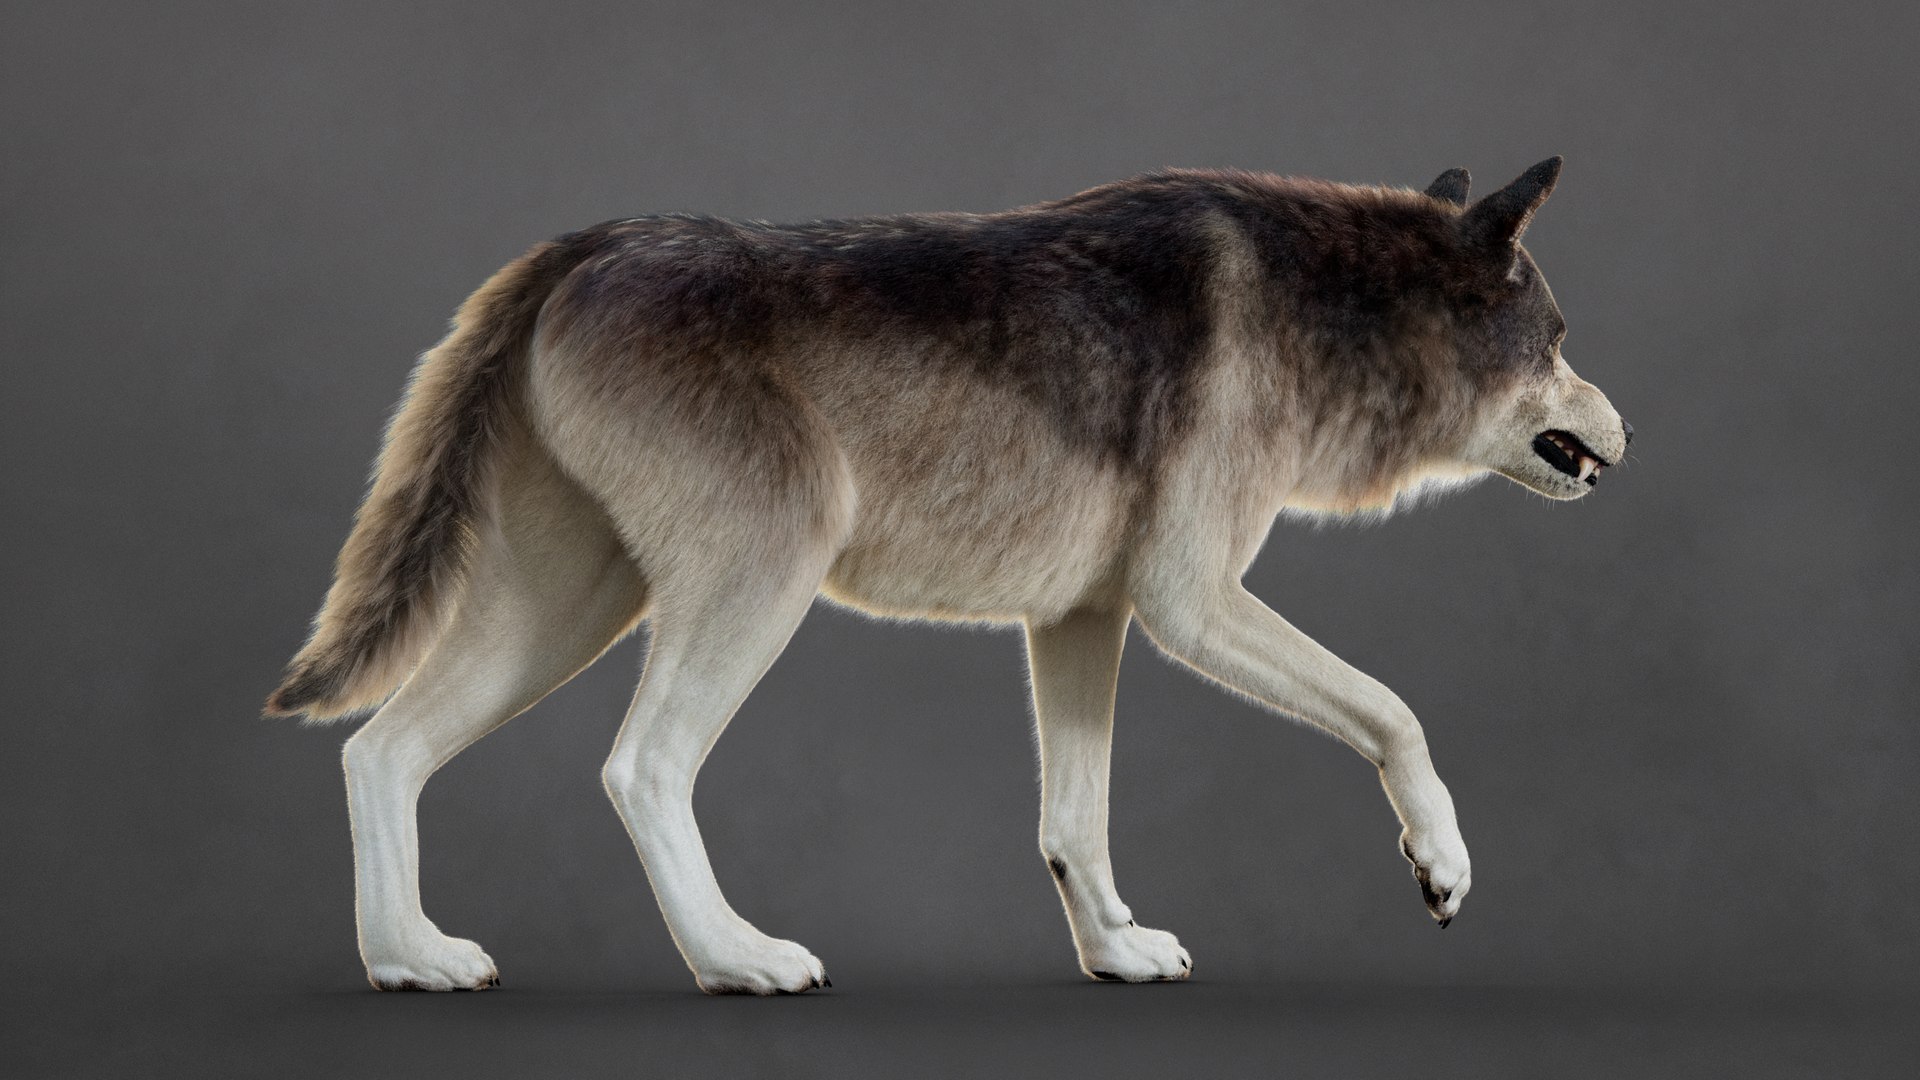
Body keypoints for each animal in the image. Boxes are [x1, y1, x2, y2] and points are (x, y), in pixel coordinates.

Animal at [266, 158, 1629, 993]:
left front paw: (1114, 951)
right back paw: (735, 958)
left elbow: (1075, 821)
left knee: (379, 750)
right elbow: (1394, 712)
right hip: (754, 583)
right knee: (639, 767)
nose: (1628, 429)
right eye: (1561, 341)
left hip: (568, 614)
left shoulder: (1085, 618)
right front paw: (1441, 862)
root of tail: (576, 247)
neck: (1327, 308)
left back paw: (407, 959)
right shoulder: (1190, 605)